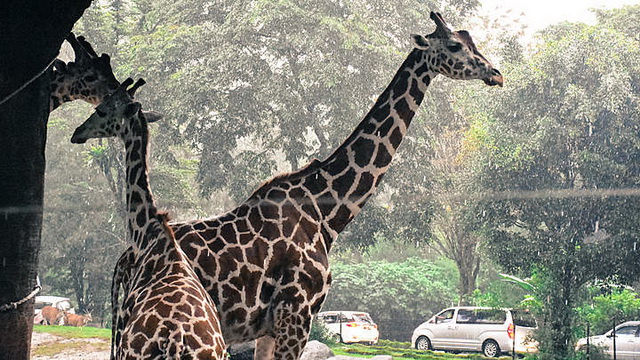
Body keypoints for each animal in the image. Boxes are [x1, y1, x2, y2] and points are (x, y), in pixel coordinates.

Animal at [116, 11, 504, 360]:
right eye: (455, 45)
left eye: (472, 42)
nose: (496, 73)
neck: (326, 212)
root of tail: (122, 260)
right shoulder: (297, 314)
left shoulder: (271, 327)